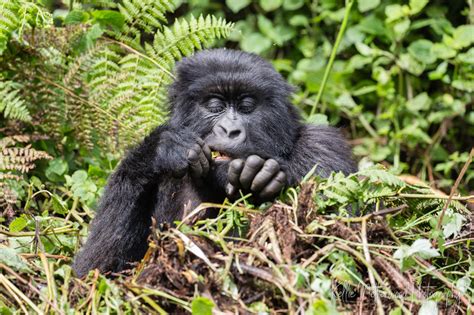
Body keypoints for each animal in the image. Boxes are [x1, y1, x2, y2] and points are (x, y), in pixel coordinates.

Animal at [72, 48, 358, 278]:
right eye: (215, 106)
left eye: (246, 107)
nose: (230, 131)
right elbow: (93, 273)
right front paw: (161, 148)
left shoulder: (324, 149)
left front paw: (260, 176)